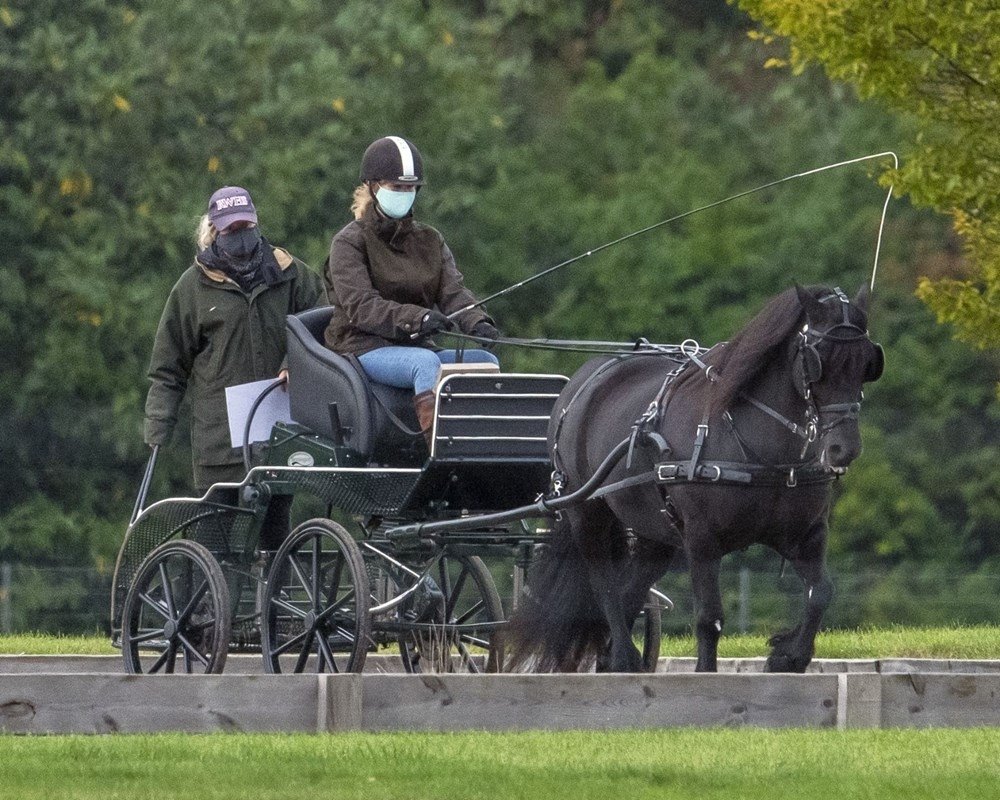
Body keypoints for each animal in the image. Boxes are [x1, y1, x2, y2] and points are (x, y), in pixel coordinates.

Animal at [508, 284, 884, 672]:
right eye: (817, 361)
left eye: (866, 363)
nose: (843, 449)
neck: (763, 451)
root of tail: (582, 384)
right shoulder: (702, 539)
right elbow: (709, 617)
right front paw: (708, 672)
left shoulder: (806, 535)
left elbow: (821, 592)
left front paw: (787, 655)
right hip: (588, 514)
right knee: (605, 587)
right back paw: (624, 658)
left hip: (654, 532)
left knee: (630, 593)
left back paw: (613, 660)